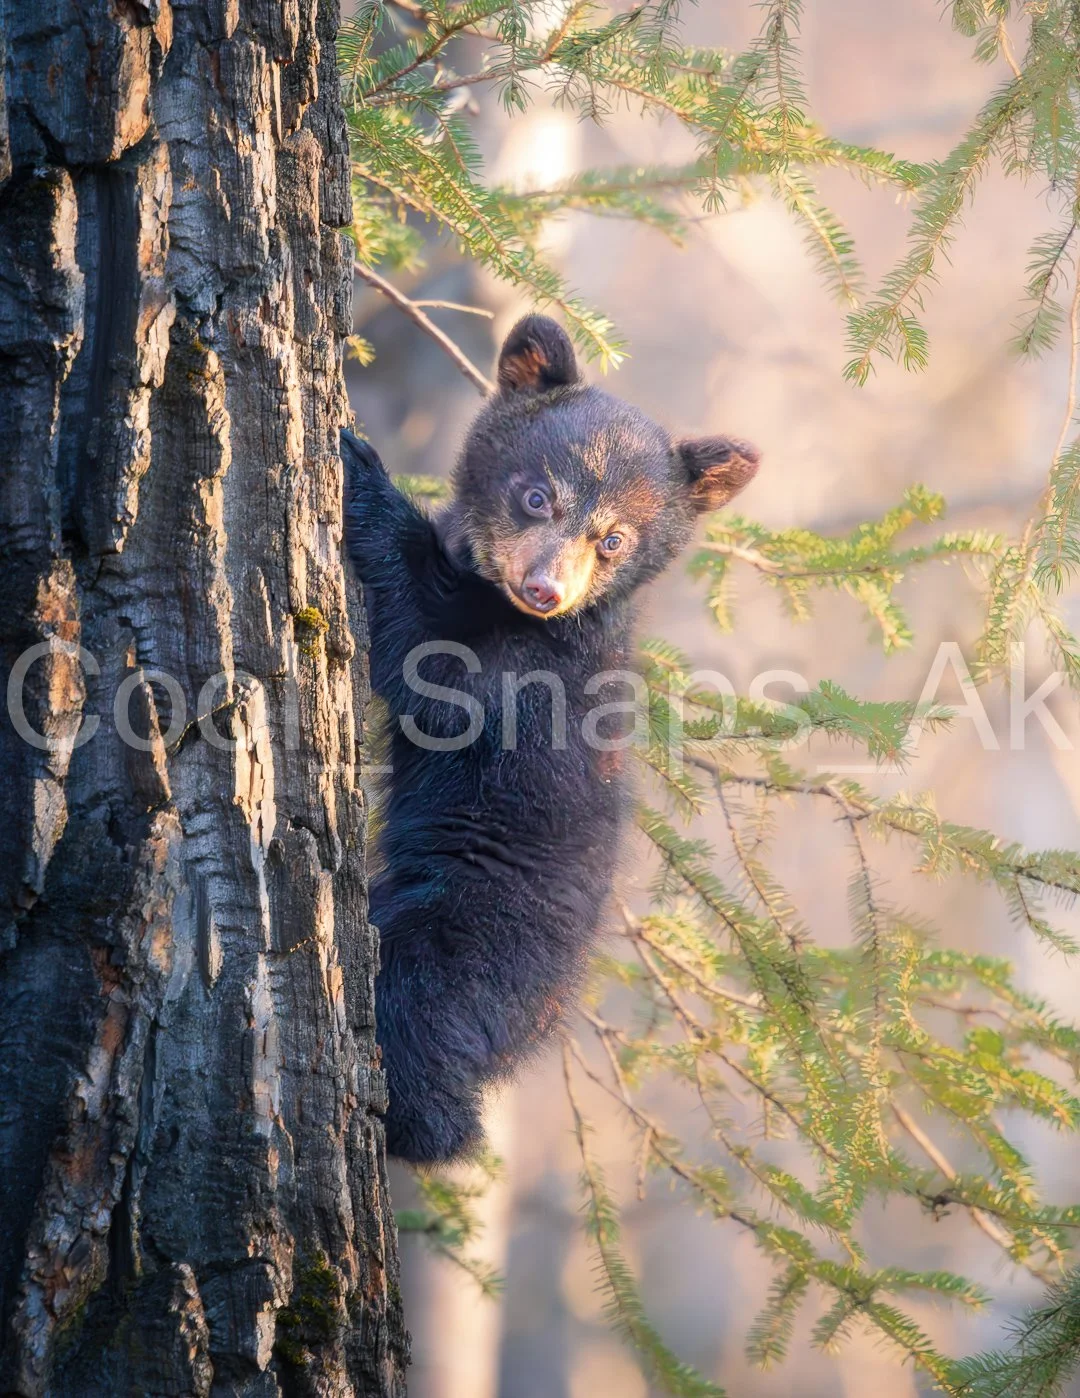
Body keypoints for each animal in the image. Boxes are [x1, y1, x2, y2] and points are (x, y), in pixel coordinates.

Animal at [342, 314, 759, 1164]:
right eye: (537, 495)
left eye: (615, 539)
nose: (544, 589)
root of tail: (544, 1016)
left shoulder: (532, 669)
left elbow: (433, 661)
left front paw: (360, 468)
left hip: (468, 939)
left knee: (418, 1034)